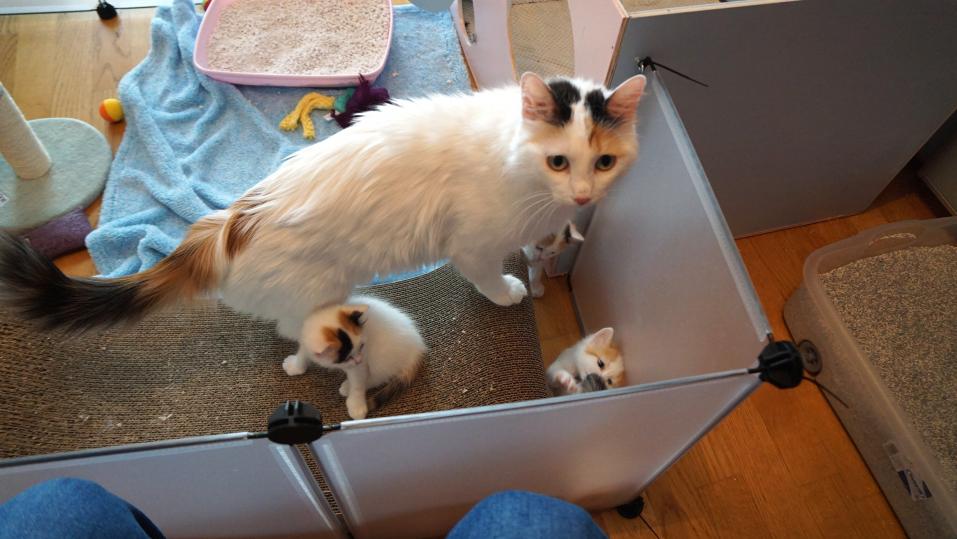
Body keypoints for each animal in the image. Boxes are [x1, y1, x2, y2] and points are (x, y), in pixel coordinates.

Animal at [0, 72, 646, 339]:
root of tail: (226, 226)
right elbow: (486, 276)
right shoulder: (472, 244)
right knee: (292, 327)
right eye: (559, 161)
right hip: (314, 287)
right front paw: (510, 291)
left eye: (603, 163)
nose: (583, 195)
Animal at [282, 295, 426, 420]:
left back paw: (347, 387)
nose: (359, 360)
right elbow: (303, 352)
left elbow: (358, 383)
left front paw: (356, 405)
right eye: (347, 358)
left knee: (377, 378)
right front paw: (296, 366)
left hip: (382, 359)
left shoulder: (361, 365)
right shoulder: (306, 340)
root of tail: (417, 348)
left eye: (362, 346)